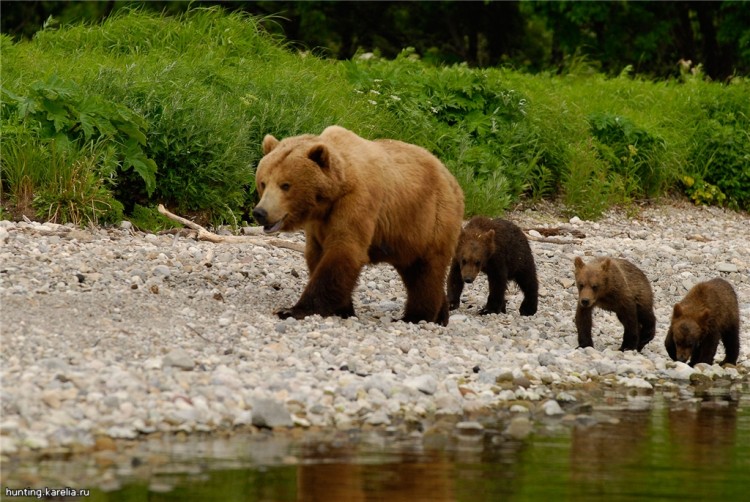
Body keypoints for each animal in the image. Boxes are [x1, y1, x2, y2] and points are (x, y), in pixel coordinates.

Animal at [253, 125, 464, 326]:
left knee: (425, 272)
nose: (260, 212)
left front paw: (292, 309)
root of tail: (453, 180)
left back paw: (415, 316)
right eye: (263, 182)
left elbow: (344, 251)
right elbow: (317, 255)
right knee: (416, 271)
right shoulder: (318, 223)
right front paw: (343, 308)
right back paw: (441, 315)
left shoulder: (357, 203)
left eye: (285, 185)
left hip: (431, 220)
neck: (331, 196)